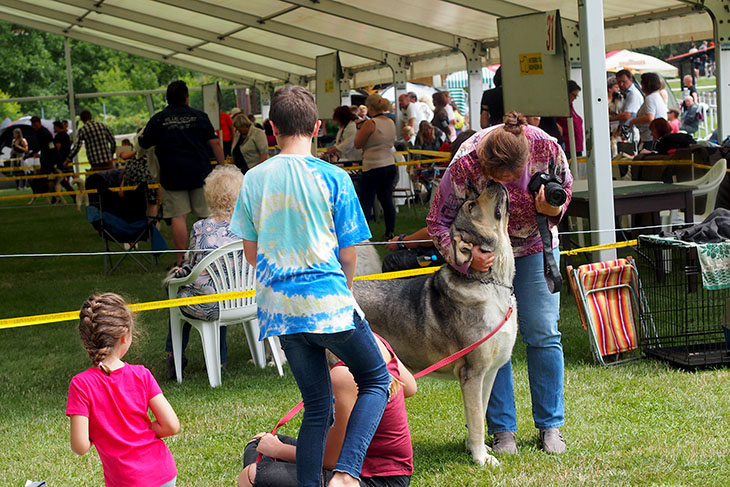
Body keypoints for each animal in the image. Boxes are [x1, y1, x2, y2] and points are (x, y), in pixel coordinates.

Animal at [352, 181, 512, 468]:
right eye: (471, 205)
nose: (494, 182)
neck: (492, 282)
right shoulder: (472, 373)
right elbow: (476, 419)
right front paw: (481, 459)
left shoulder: (489, 372)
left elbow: (479, 414)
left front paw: (477, 449)